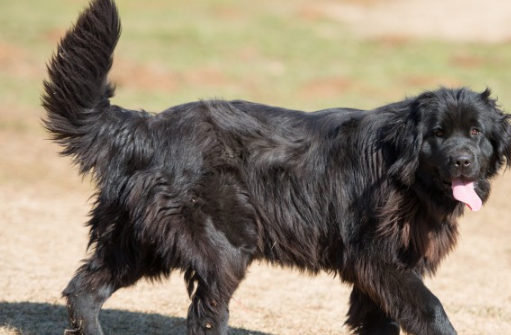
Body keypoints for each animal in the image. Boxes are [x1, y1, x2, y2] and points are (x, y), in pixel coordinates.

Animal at [41, 0, 511, 335]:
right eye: (438, 133)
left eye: (475, 132)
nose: (462, 161)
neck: (401, 168)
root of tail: (147, 126)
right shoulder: (379, 260)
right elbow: (431, 309)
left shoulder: (378, 272)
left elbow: (380, 321)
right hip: (222, 247)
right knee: (206, 314)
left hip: (137, 241)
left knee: (84, 291)